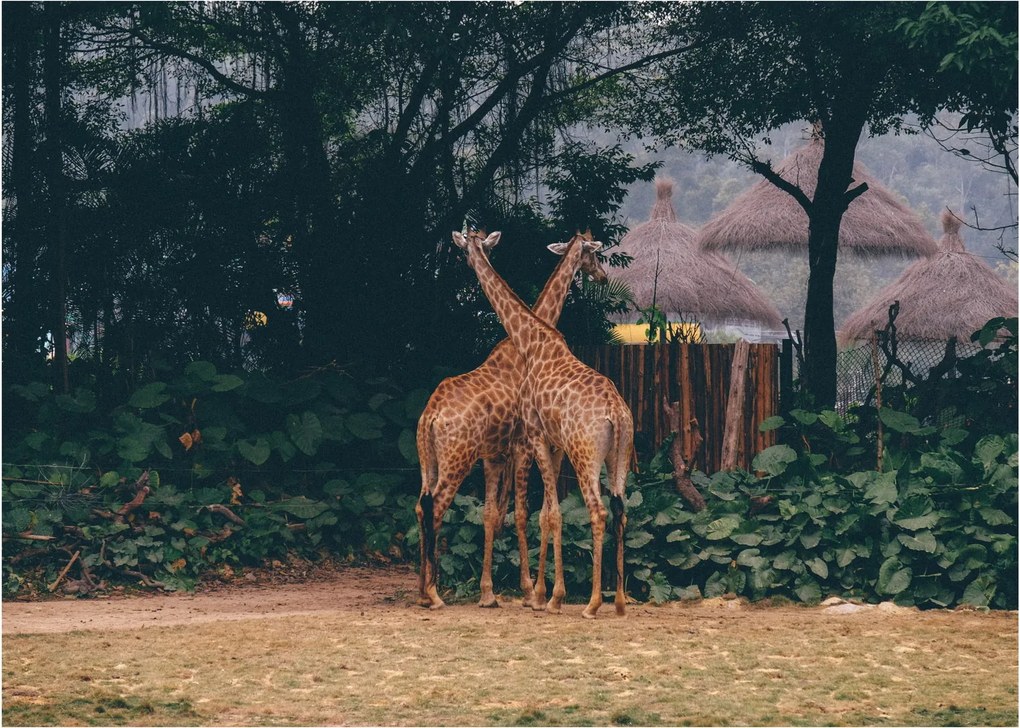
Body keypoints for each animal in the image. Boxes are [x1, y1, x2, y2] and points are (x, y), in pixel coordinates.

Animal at [416, 230, 608, 610]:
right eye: (594, 255)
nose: (603, 277)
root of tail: (430, 415)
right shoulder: (522, 446)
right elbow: (523, 513)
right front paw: (531, 591)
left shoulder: (494, 454)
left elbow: (492, 514)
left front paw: (489, 593)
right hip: (457, 459)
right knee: (436, 507)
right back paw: (433, 594)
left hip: (428, 461)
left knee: (419, 506)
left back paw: (421, 590)